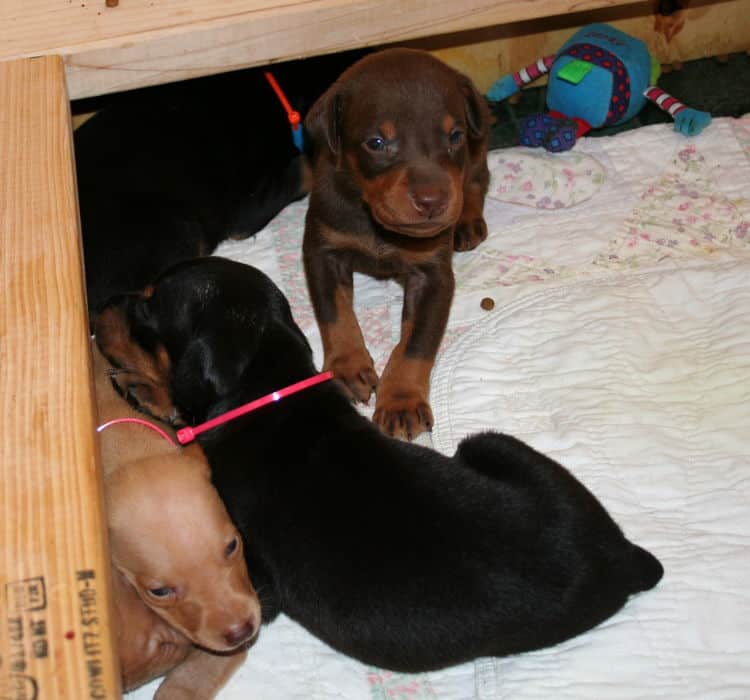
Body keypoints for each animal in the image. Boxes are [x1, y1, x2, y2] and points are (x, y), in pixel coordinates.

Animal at [302, 47, 490, 438]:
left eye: (454, 136)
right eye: (376, 143)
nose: (433, 201)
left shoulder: (433, 276)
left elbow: (416, 343)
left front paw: (401, 401)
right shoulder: (323, 249)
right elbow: (335, 313)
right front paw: (347, 365)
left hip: (479, 152)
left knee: (477, 181)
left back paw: (466, 221)